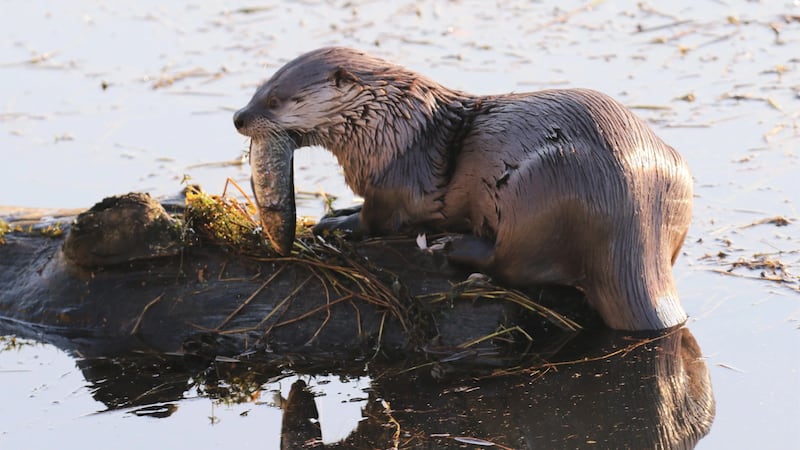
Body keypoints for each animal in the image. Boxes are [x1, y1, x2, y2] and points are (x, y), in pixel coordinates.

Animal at [233, 47, 693, 331]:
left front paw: (337, 224)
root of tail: (634, 220)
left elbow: (376, 220)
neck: (390, 128)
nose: (239, 117)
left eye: (275, 100)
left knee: (512, 265)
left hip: (543, 188)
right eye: (258, 88)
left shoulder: (393, 183)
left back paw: (454, 247)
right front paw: (338, 212)